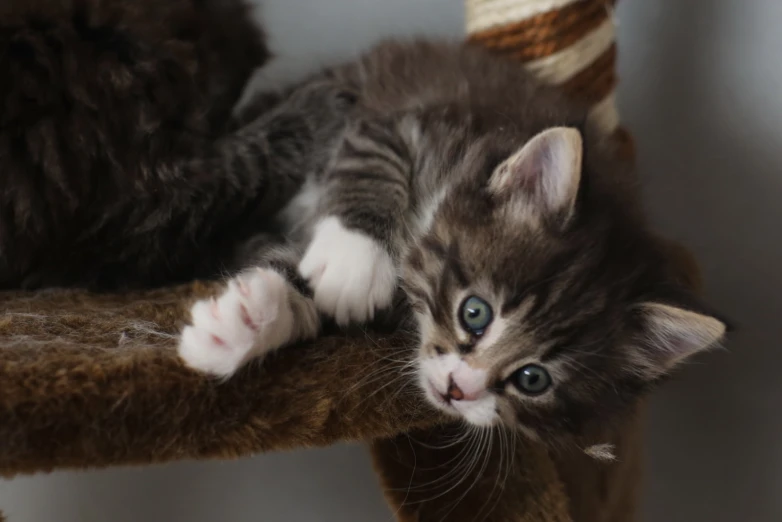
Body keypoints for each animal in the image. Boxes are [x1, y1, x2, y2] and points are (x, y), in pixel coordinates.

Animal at [178, 39, 728, 438]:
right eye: (474, 313)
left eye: (533, 379)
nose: (459, 390)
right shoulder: (396, 124)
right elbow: (373, 163)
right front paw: (352, 262)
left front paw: (243, 323)